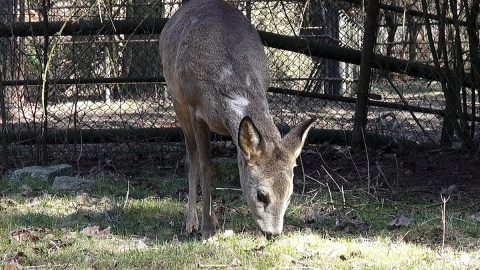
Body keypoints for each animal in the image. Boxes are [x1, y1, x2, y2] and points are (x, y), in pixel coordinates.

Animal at [159, 0, 316, 238]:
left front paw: (212, 221)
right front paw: (207, 230)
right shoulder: (195, 108)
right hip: (177, 98)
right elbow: (206, 164)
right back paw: (191, 223)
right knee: (190, 157)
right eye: (261, 195)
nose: (273, 233)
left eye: (290, 194)